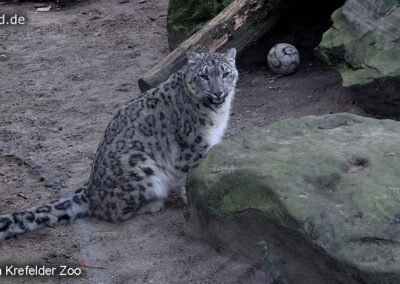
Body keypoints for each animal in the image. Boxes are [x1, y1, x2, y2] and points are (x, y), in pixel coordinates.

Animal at [0, 48, 238, 240]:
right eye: (204, 75)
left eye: (225, 73)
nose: (217, 92)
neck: (217, 114)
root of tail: (90, 189)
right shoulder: (192, 148)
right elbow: (189, 176)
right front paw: (191, 199)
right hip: (142, 168)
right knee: (116, 212)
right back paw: (154, 203)